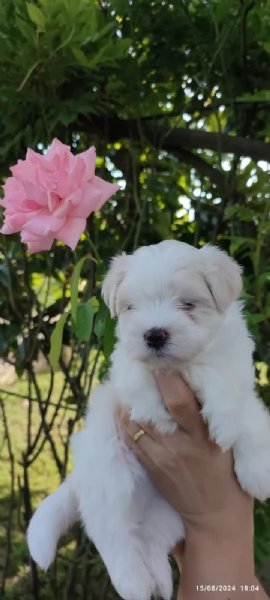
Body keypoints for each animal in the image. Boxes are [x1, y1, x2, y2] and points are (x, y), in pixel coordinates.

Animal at [26, 240, 270, 600]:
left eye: (188, 303)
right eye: (131, 308)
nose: (154, 335)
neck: (182, 366)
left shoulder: (235, 371)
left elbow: (242, 410)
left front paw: (253, 466)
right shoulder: (126, 365)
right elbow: (142, 378)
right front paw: (161, 417)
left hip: (169, 514)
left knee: (153, 542)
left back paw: (161, 582)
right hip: (110, 479)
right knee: (113, 535)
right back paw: (134, 584)